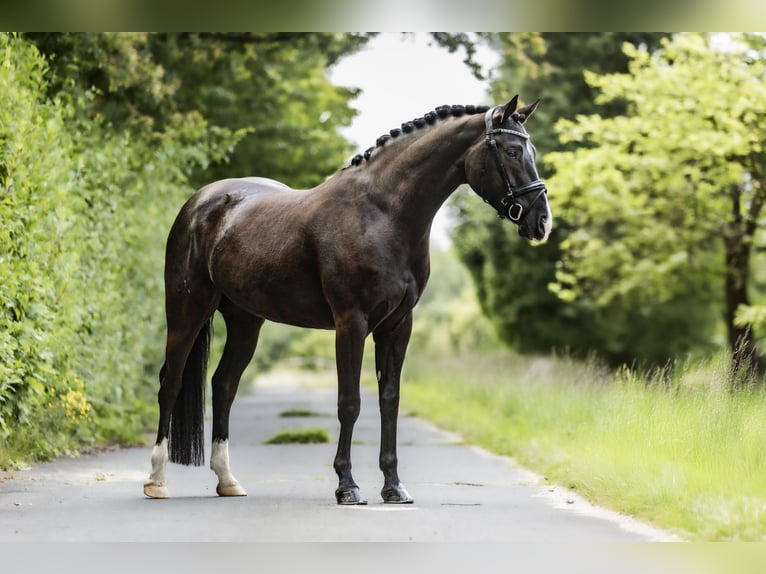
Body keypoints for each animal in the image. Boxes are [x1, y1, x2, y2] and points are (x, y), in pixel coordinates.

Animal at [144, 97, 552, 506]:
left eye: (530, 150)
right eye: (512, 151)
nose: (542, 222)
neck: (382, 214)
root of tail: (200, 201)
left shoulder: (398, 325)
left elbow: (389, 399)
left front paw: (394, 486)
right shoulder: (351, 322)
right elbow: (350, 402)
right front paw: (347, 486)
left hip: (245, 321)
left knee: (224, 385)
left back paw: (227, 480)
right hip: (186, 310)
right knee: (171, 382)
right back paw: (157, 480)